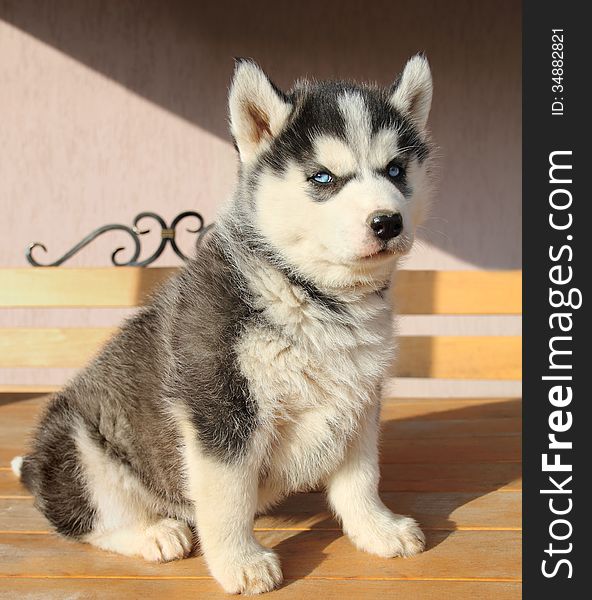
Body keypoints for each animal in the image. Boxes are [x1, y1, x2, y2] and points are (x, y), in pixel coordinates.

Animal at [11, 56, 432, 596]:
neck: (309, 295)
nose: (387, 222)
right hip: (77, 446)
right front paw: (241, 562)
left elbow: (361, 479)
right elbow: (228, 499)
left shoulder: (358, 398)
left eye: (395, 170)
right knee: (88, 518)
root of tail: (36, 469)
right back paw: (154, 533)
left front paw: (377, 529)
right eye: (322, 177)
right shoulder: (220, 407)